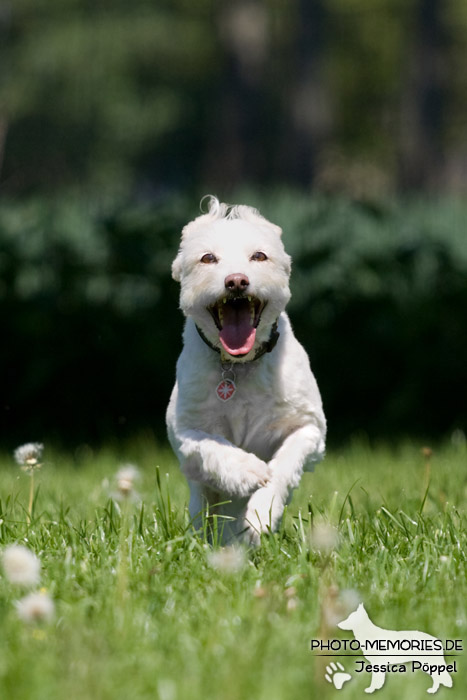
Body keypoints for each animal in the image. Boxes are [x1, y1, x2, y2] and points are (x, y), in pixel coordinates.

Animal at [167, 198, 326, 548]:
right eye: (208, 258)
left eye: (259, 256)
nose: (236, 281)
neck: (238, 365)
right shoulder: (185, 430)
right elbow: (211, 446)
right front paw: (245, 471)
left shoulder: (309, 427)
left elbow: (284, 465)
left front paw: (259, 514)